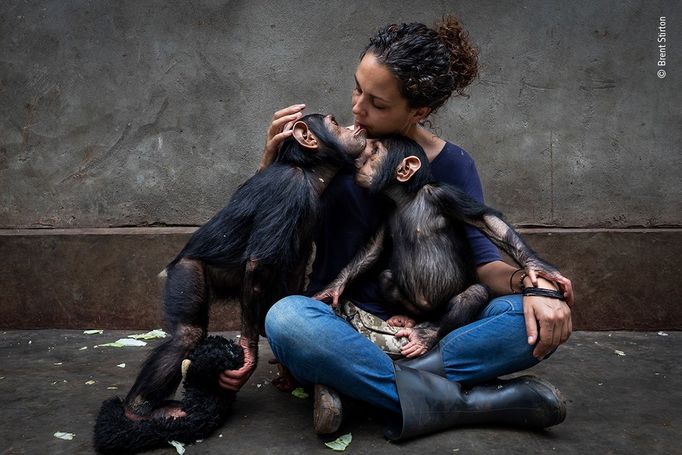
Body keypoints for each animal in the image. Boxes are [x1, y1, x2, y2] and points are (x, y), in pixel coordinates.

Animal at [121, 114, 366, 420]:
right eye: (334, 122)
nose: (352, 126)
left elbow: (294, 269)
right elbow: (258, 265)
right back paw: (137, 409)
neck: (311, 173)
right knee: (187, 335)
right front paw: (248, 356)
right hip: (187, 272)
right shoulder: (287, 189)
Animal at [314, 137, 568, 354]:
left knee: (473, 295)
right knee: (386, 277)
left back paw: (427, 335)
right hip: (415, 305)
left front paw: (536, 266)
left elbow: (485, 221)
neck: (407, 198)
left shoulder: (443, 194)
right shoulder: (387, 211)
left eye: (375, 152)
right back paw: (404, 318)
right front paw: (333, 287)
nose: (363, 160)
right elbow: (374, 247)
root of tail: (430, 313)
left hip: (447, 306)